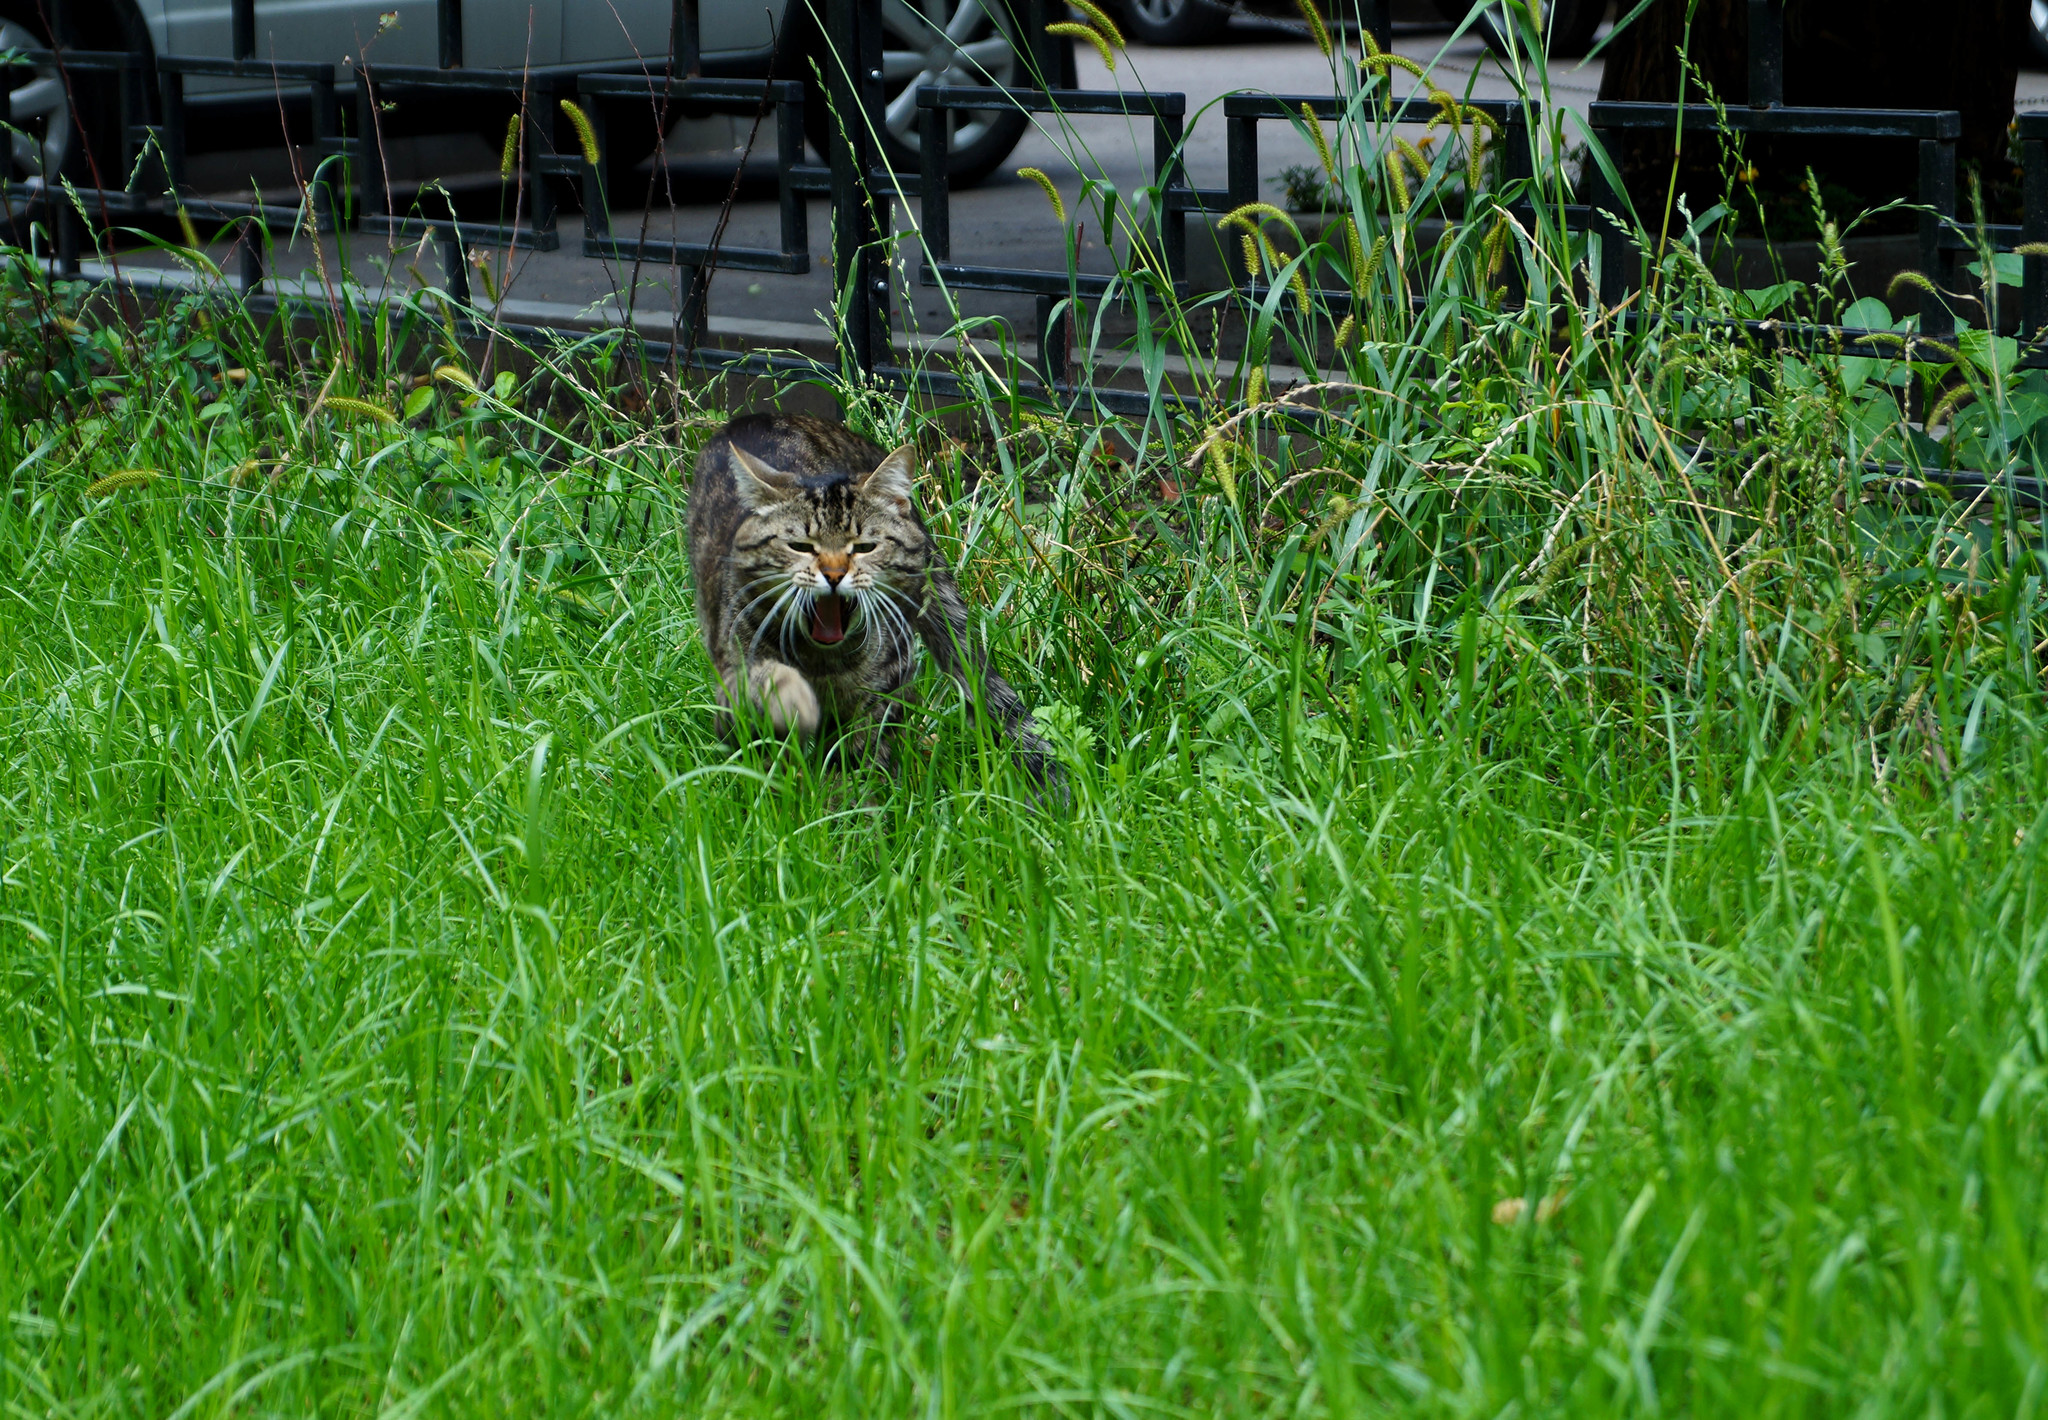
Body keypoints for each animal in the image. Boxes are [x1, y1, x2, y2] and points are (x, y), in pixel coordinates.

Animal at [696, 409, 1064, 786]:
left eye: (864, 547)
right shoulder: (733, 667)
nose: (833, 574)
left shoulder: (886, 683)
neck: (823, 662)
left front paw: (851, 794)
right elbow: (761, 703)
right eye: (800, 546)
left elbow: (863, 757)